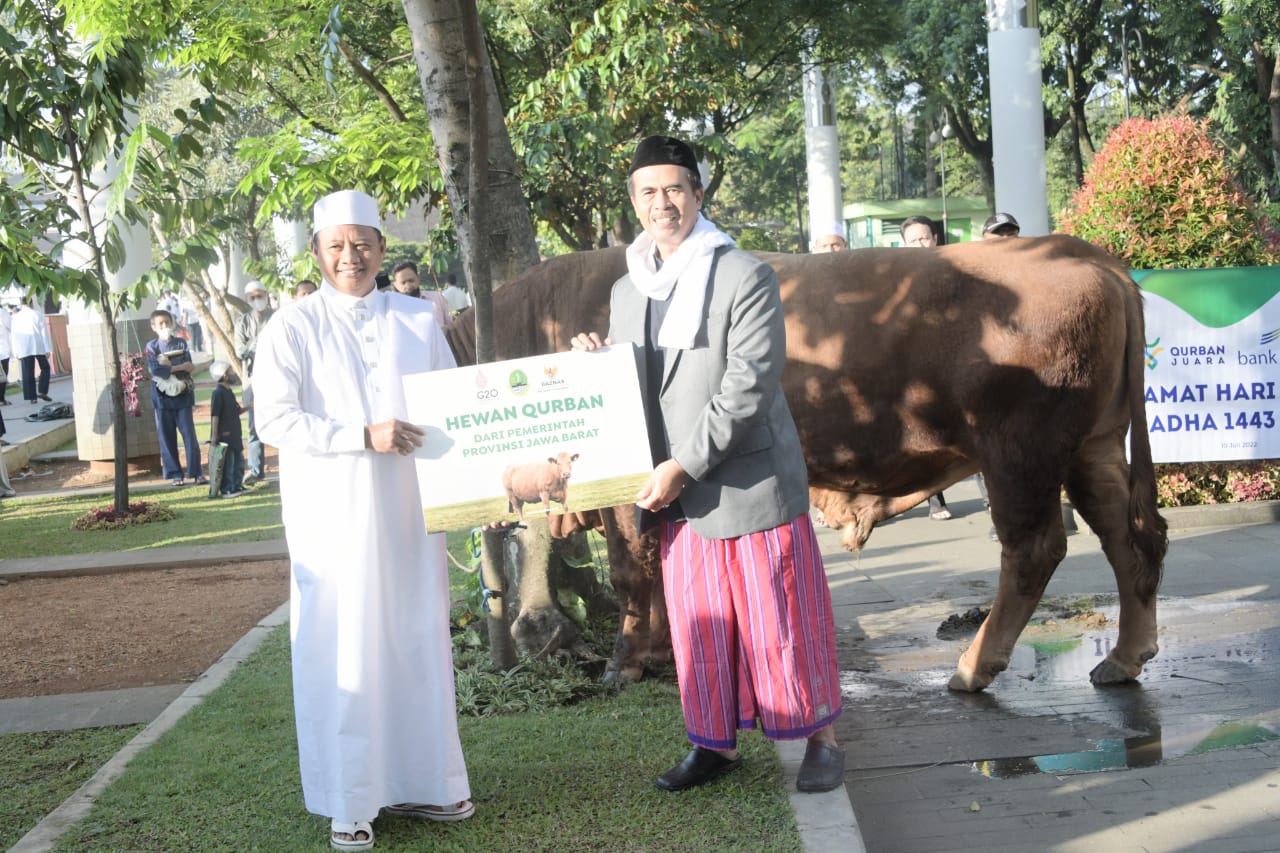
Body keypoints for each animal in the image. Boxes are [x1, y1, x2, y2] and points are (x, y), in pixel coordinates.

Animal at [450, 235, 1172, 686]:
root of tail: (1080, 251)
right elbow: (658, 569)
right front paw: (660, 652)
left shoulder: (628, 489)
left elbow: (634, 569)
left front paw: (623, 661)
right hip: (1092, 447)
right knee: (1131, 537)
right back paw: (1124, 657)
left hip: (1021, 452)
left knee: (1035, 548)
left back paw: (974, 666)